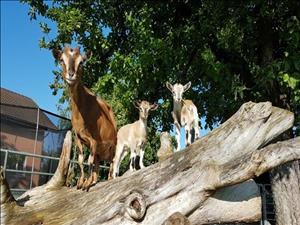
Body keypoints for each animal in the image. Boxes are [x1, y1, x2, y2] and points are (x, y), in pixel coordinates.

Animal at [52, 46, 116, 191]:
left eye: (81, 62)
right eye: (61, 60)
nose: (71, 75)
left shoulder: (94, 140)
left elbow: (89, 161)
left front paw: (86, 183)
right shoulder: (79, 138)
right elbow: (81, 160)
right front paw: (81, 182)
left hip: (113, 146)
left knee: (113, 162)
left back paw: (110, 178)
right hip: (99, 152)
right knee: (97, 166)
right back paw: (93, 180)